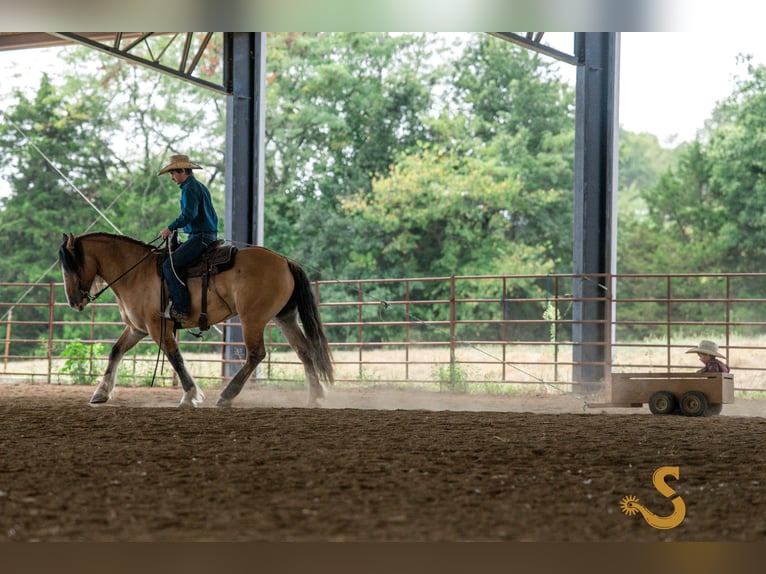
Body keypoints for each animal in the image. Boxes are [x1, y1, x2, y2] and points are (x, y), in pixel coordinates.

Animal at [58, 232, 334, 408]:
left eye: (70, 266)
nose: (73, 302)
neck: (135, 273)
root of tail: (285, 261)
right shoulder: (137, 329)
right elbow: (115, 351)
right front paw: (101, 393)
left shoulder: (158, 328)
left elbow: (175, 358)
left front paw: (190, 395)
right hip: (284, 318)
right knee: (304, 350)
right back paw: (315, 396)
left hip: (252, 319)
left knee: (256, 354)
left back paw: (227, 395)